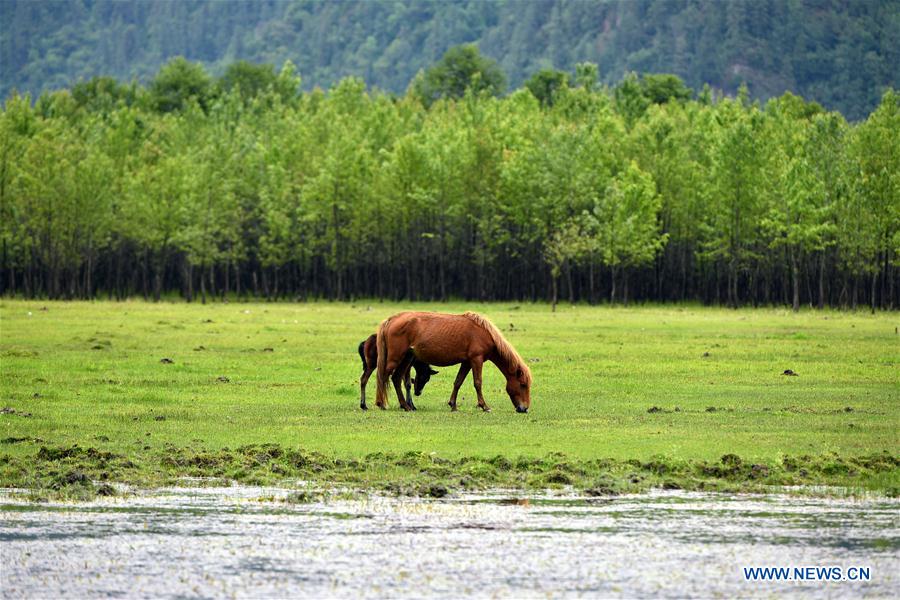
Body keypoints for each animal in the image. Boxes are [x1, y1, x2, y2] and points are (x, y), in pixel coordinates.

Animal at [374, 310, 532, 412]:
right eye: (523, 385)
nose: (524, 408)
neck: (484, 333)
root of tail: (391, 320)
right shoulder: (476, 360)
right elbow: (478, 383)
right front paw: (484, 406)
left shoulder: (467, 362)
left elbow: (458, 382)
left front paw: (453, 405)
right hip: (396, 358)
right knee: (383, 377)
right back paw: (381, 403)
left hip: (406, 359)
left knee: (396, 378)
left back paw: (405, 406)